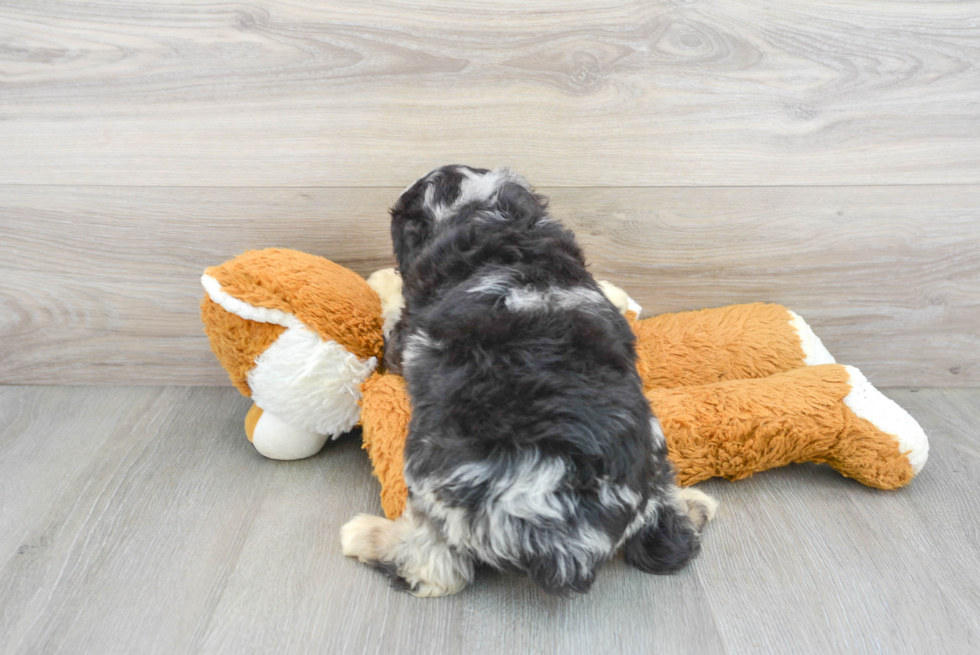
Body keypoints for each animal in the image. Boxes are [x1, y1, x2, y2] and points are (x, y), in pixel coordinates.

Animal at [340, 167, 716, 596]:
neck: (498, 223)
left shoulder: (404, 341)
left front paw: (381, 278)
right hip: (656, 457)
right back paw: (696, 506)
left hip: (437, 482)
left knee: (435, 567)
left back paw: (367, 536)